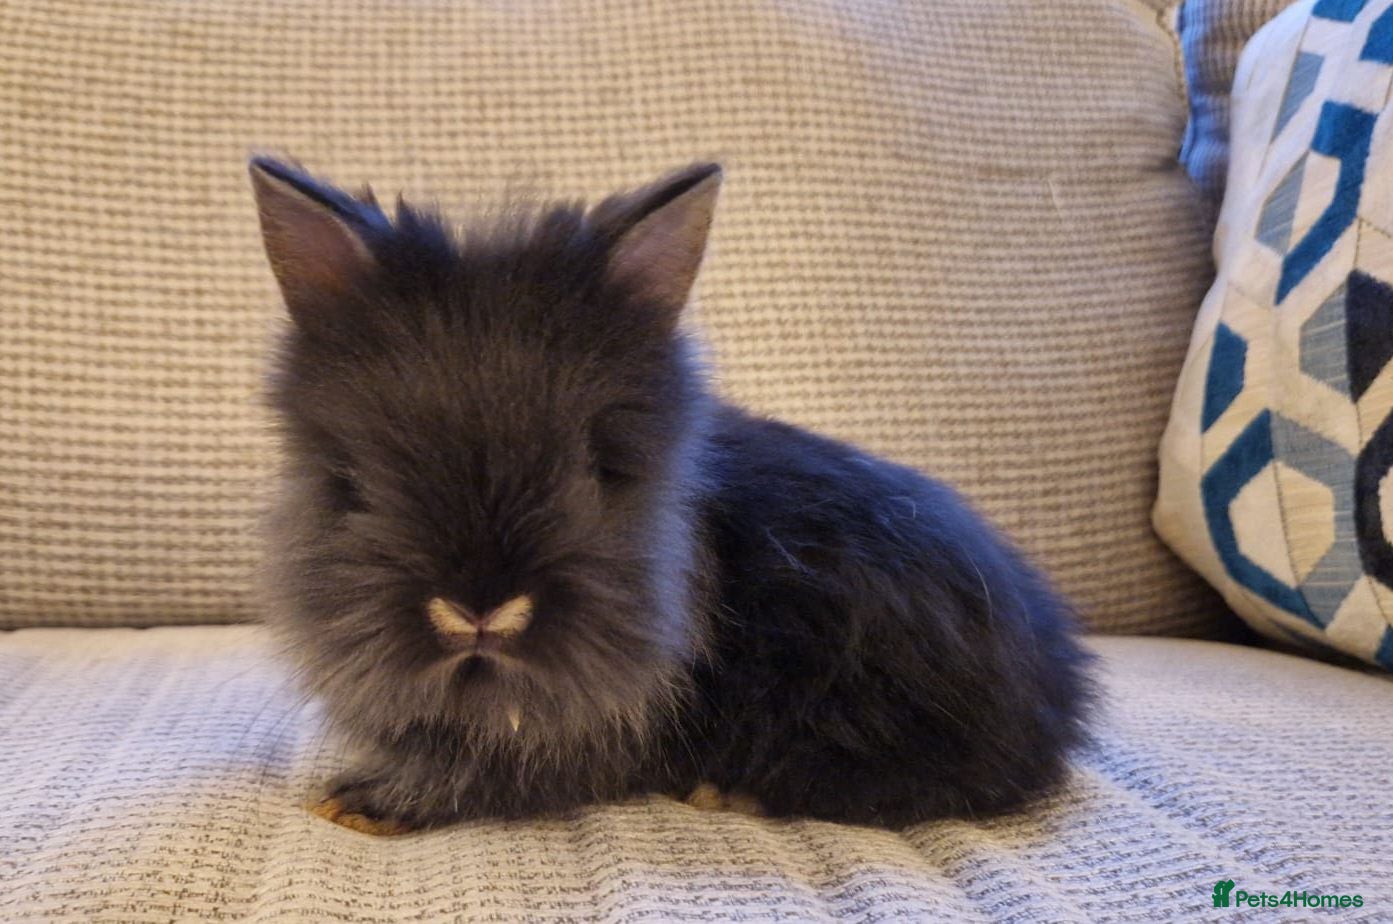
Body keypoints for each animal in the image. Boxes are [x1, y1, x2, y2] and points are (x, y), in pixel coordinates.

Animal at [251, 156, 1094, 834]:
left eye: (601, 468)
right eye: (353, 477)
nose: (478, 610)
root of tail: (1059, 684)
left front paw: (365, 802)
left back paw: (733, 794)